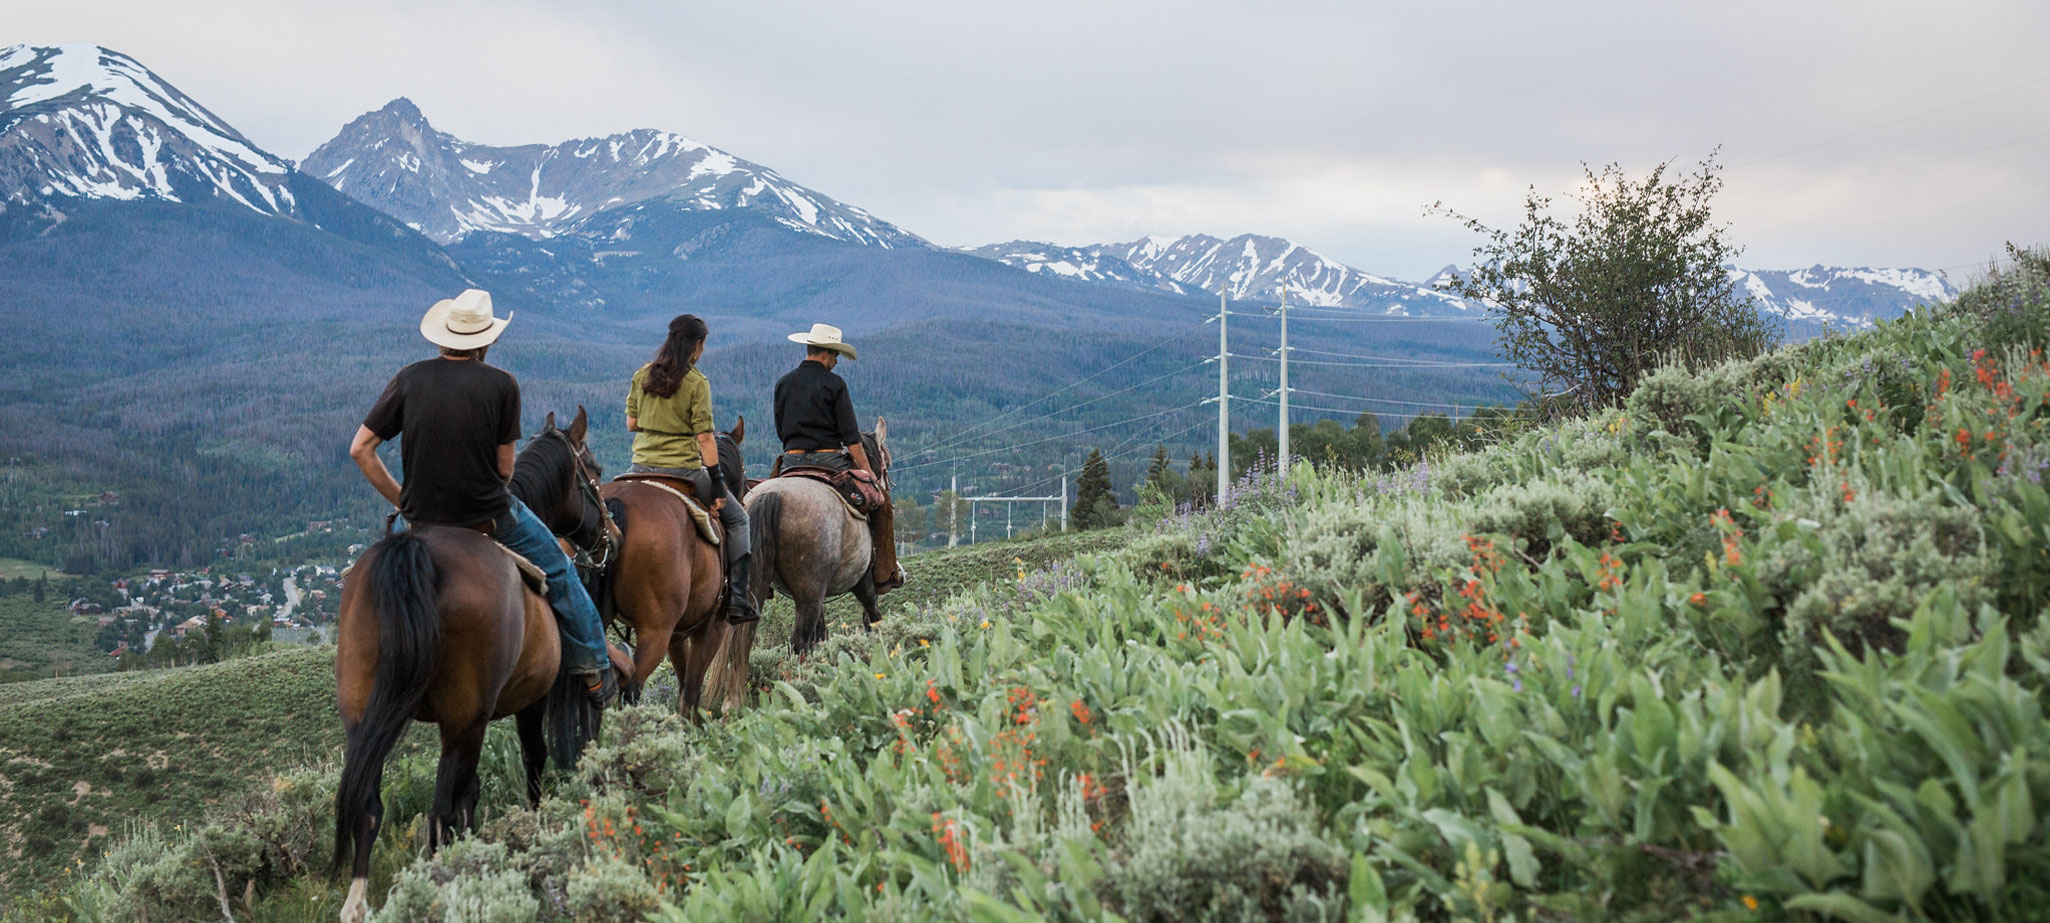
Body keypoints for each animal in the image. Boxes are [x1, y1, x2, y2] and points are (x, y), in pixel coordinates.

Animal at [323, 410, 615, 923]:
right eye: (594, 471)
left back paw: (358, 902)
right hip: (464, 721)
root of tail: (416, 553)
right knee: (438, 809)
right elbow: (532, 760)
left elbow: (470, 792)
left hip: (364, 712)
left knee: (370, 804)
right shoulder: (530, 700)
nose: (611, 536)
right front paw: (533, 827)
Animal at [590, 414, 750, 717]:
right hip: (655, 631)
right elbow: (692, 691)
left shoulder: (678, 633)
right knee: (631, 688)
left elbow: (683, 683)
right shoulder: (710, 628)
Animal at [705, 422, 889, 709]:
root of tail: (773, 495)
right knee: (797, 643)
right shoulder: (861, 581)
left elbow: (822, 633)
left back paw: (732, 702)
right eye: (884, 463)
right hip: (810, 592)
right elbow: (872, 615)